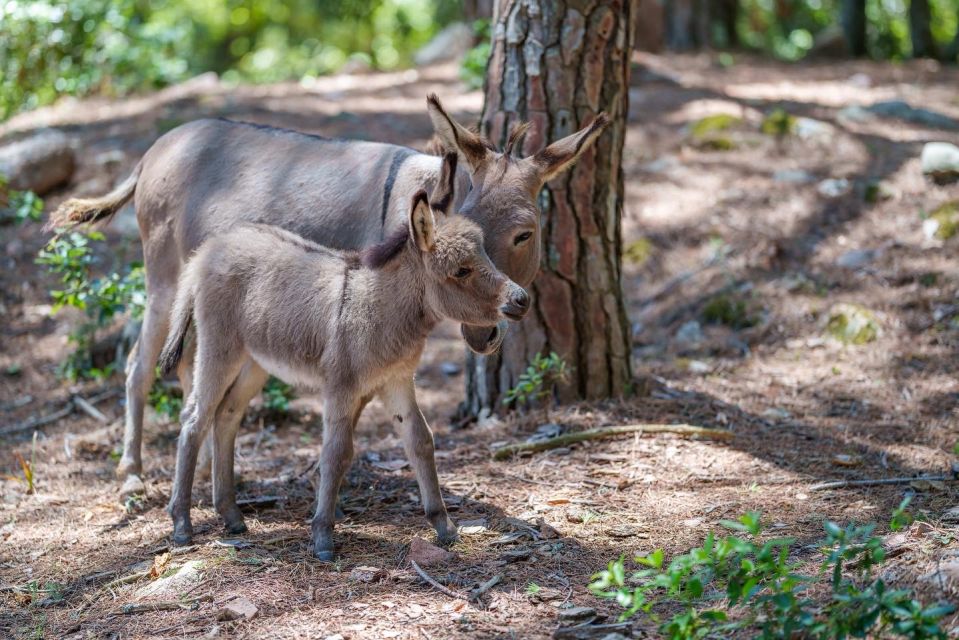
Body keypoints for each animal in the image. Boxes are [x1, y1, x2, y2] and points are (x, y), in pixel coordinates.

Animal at [160, 156, 528, 560]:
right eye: (461, 270)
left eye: (484, 255)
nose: (522, 299)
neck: (380, 308)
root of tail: (209, 249)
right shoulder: (341, 386)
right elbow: (336, 453)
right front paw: (323, 536)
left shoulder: (396, 381)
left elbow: (421, 441)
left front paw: (444, 527)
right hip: (219, 347)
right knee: (194, 418)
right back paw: (182, 524)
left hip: (255, 361)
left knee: (226, 414)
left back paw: (231, 515)